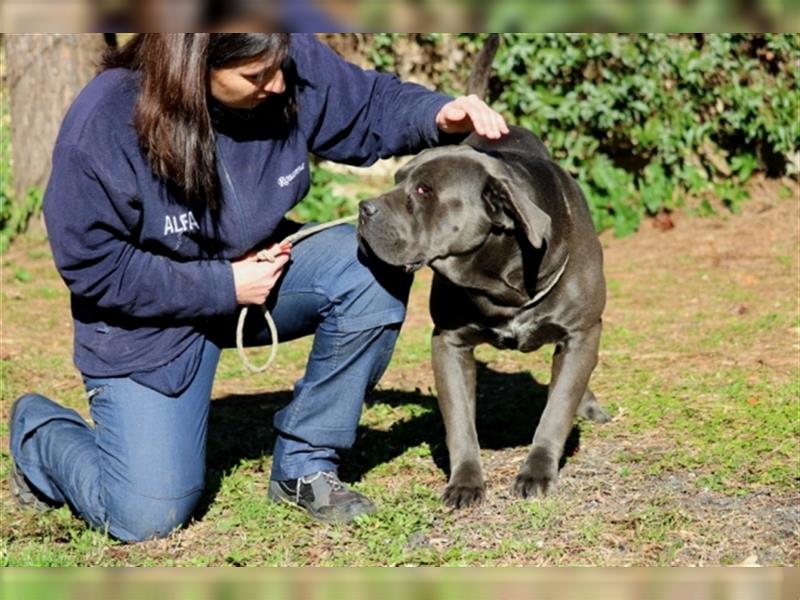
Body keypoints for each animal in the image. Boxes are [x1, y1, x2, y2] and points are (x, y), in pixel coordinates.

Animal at [356, 35, 608, 508]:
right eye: (398, 178)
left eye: (423, 190)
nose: (364, 209)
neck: (501, 275)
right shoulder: (448, 343)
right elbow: (459, 423)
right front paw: (466, 480)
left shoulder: (582, 331)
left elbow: (556, 409)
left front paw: (538, 470)